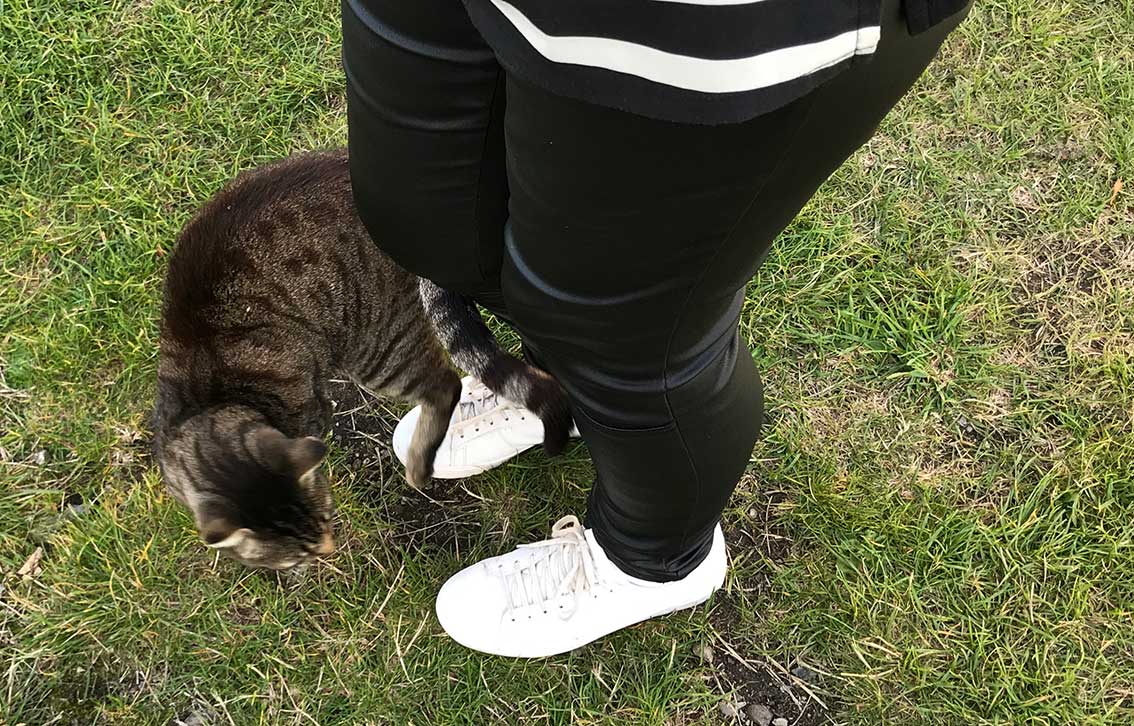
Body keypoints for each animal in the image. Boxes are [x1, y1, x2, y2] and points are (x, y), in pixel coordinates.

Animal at [152, 149, 571, 570]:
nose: (327, 549)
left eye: (324, 521)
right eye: (298, 552)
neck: (213, 398)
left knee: (446, 383)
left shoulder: (309, 414)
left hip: (376, 347)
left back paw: (419, 463)